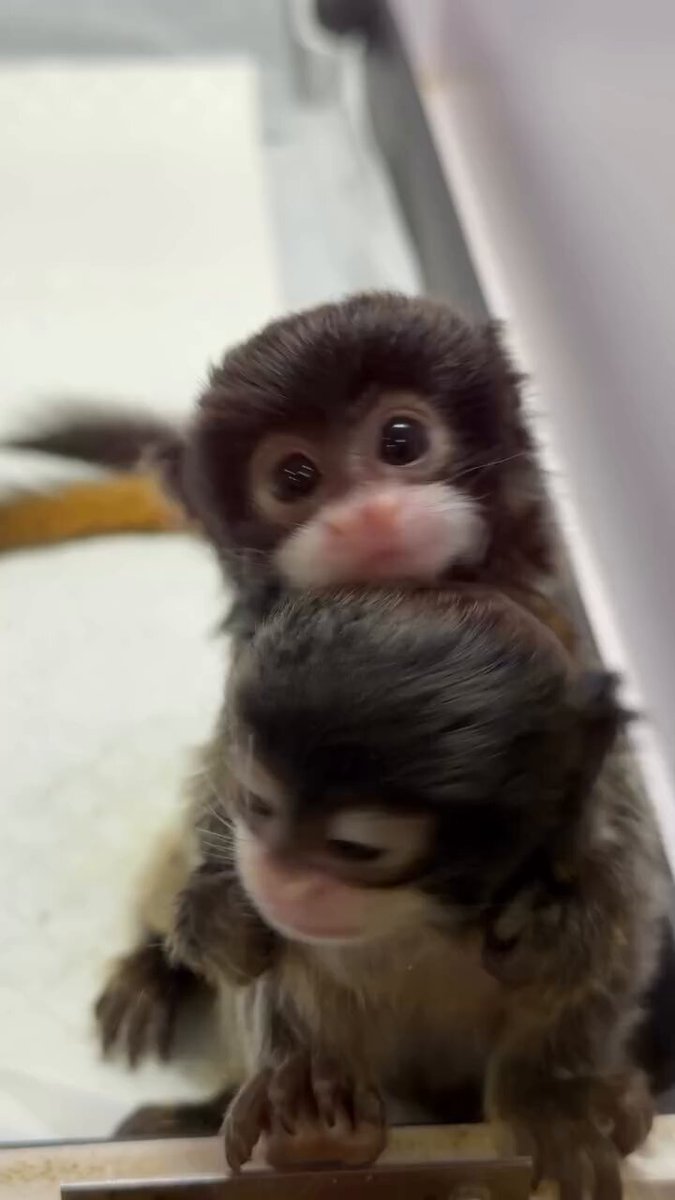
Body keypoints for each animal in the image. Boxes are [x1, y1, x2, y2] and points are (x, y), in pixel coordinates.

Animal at [95, 584, 671, 1195]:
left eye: (355, 849)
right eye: (259, 805)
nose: (282, 879)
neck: (420, 918)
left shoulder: (607, 833)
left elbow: (603, 954)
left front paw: (550, 1092)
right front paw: (222, 926)